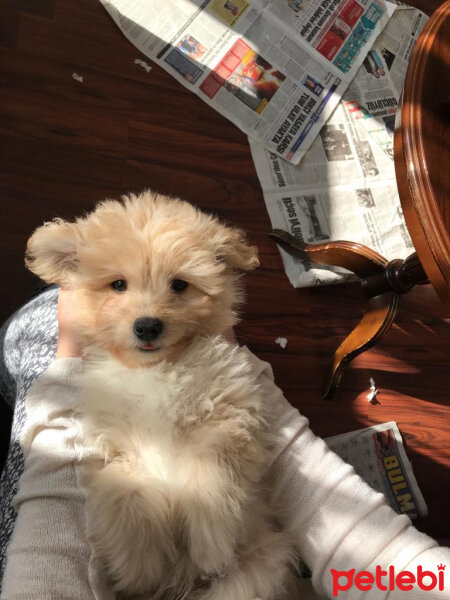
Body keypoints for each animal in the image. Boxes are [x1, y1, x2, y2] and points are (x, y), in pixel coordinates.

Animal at [26, 192, 298, 600]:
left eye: (180, 285)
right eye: (118, 285)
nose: (147, 325)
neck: (157, 370)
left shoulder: (228, 418)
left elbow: (212, 467)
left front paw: (211, 542)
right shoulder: (118, 450)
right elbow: (124, 491)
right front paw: (138, 569)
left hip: (254, 572)